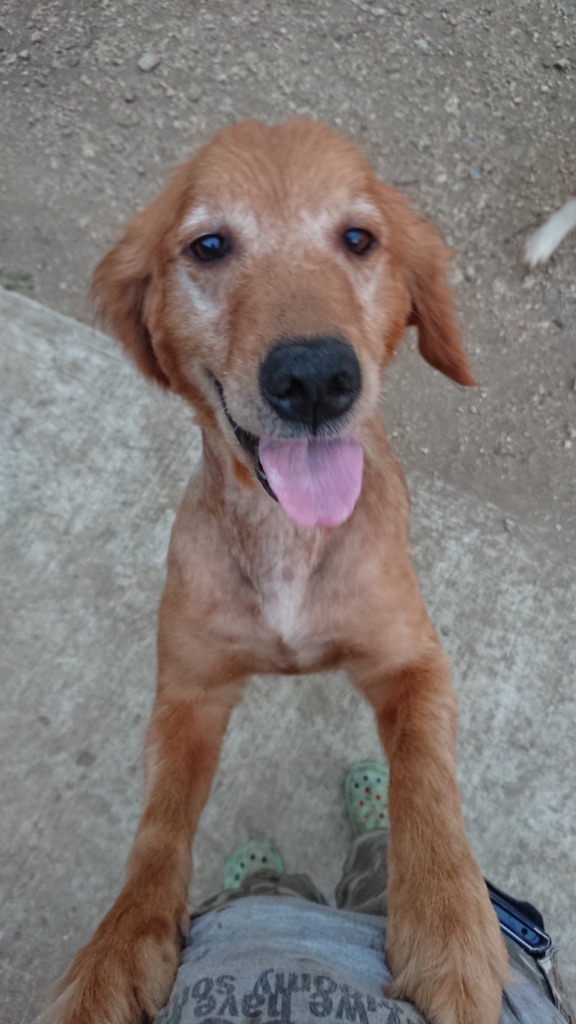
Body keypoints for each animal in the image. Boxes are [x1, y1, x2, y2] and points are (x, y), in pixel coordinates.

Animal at [48, 119, 509, 1024]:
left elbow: (427, 786)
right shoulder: (188, 692)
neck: (289, 537)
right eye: (209, 245)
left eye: (360, 238)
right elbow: (157, 828)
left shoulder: (413, 661)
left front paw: (451, 926)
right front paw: (117, 948)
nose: (315, 377)